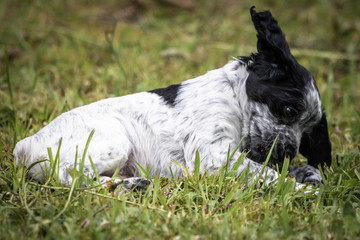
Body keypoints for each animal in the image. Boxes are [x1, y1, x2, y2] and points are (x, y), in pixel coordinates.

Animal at [12, 7, 330, 190]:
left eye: (308, 131)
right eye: (288, 110)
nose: (288, 153)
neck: (233, 97)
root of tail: (24, 145)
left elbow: (273, 168)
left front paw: (305, 172)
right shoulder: (213, 154)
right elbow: (269, 174)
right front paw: (300, 189)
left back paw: (131, 183)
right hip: (114, 142)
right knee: (69, 174)